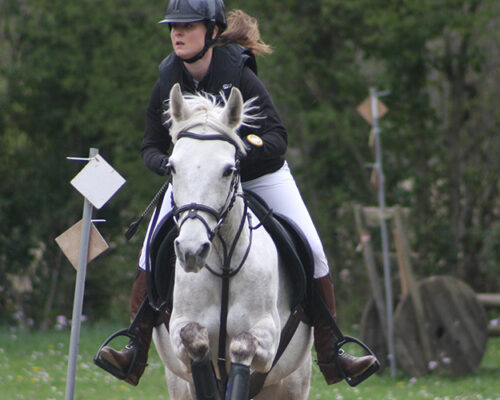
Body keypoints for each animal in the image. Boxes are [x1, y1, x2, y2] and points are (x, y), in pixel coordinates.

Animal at [152, 83, 312, 398]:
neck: (223, 259)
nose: (191, 251)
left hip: (294, 383)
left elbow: (241, 345)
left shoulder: (268, 337)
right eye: (172, 168)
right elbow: (195, 340)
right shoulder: (179, 330)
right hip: (178, 384)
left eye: (228, 170)